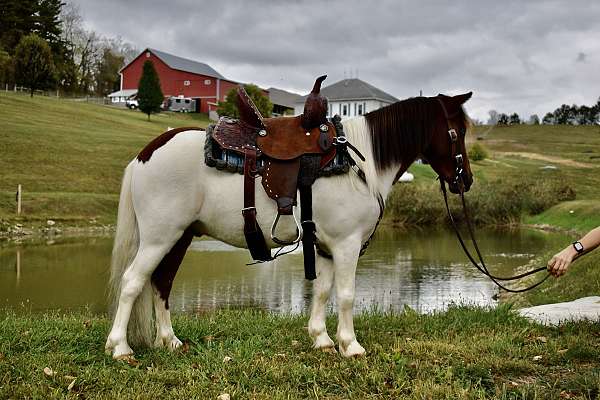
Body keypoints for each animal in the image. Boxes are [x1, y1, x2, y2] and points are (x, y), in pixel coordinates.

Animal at [106, 91, 474, 360]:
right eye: (458, 132)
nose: (466, 180)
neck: (361, 163)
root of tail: (147, 152)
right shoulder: (347, 244)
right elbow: (346, 295)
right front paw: (350, 345)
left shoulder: (325, 247)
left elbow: (322, 291)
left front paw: (321, 339)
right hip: (159, 238)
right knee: (132, 281)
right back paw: (120, 348)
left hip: (180, 237)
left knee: (162, 283)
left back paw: (169, 341)